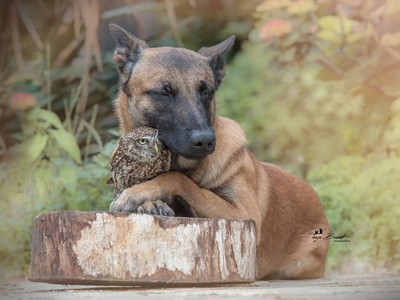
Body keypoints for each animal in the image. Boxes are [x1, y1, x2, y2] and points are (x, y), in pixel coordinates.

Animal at [108, 24, 330, 280]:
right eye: (164, 92)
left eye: (206, 91)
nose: (205, 140)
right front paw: (149, 202)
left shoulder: (245, 215)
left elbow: (179, 179)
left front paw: (140, 193)